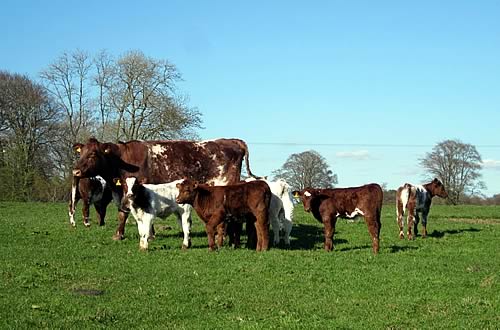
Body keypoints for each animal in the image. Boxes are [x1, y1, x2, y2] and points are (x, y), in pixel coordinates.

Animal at [73, 138, 262, 241]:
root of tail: (232, 140)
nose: (75, 171)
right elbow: (123, 213)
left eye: (93, 154)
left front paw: (143, 234)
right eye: (81, 153)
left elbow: (126, 214)